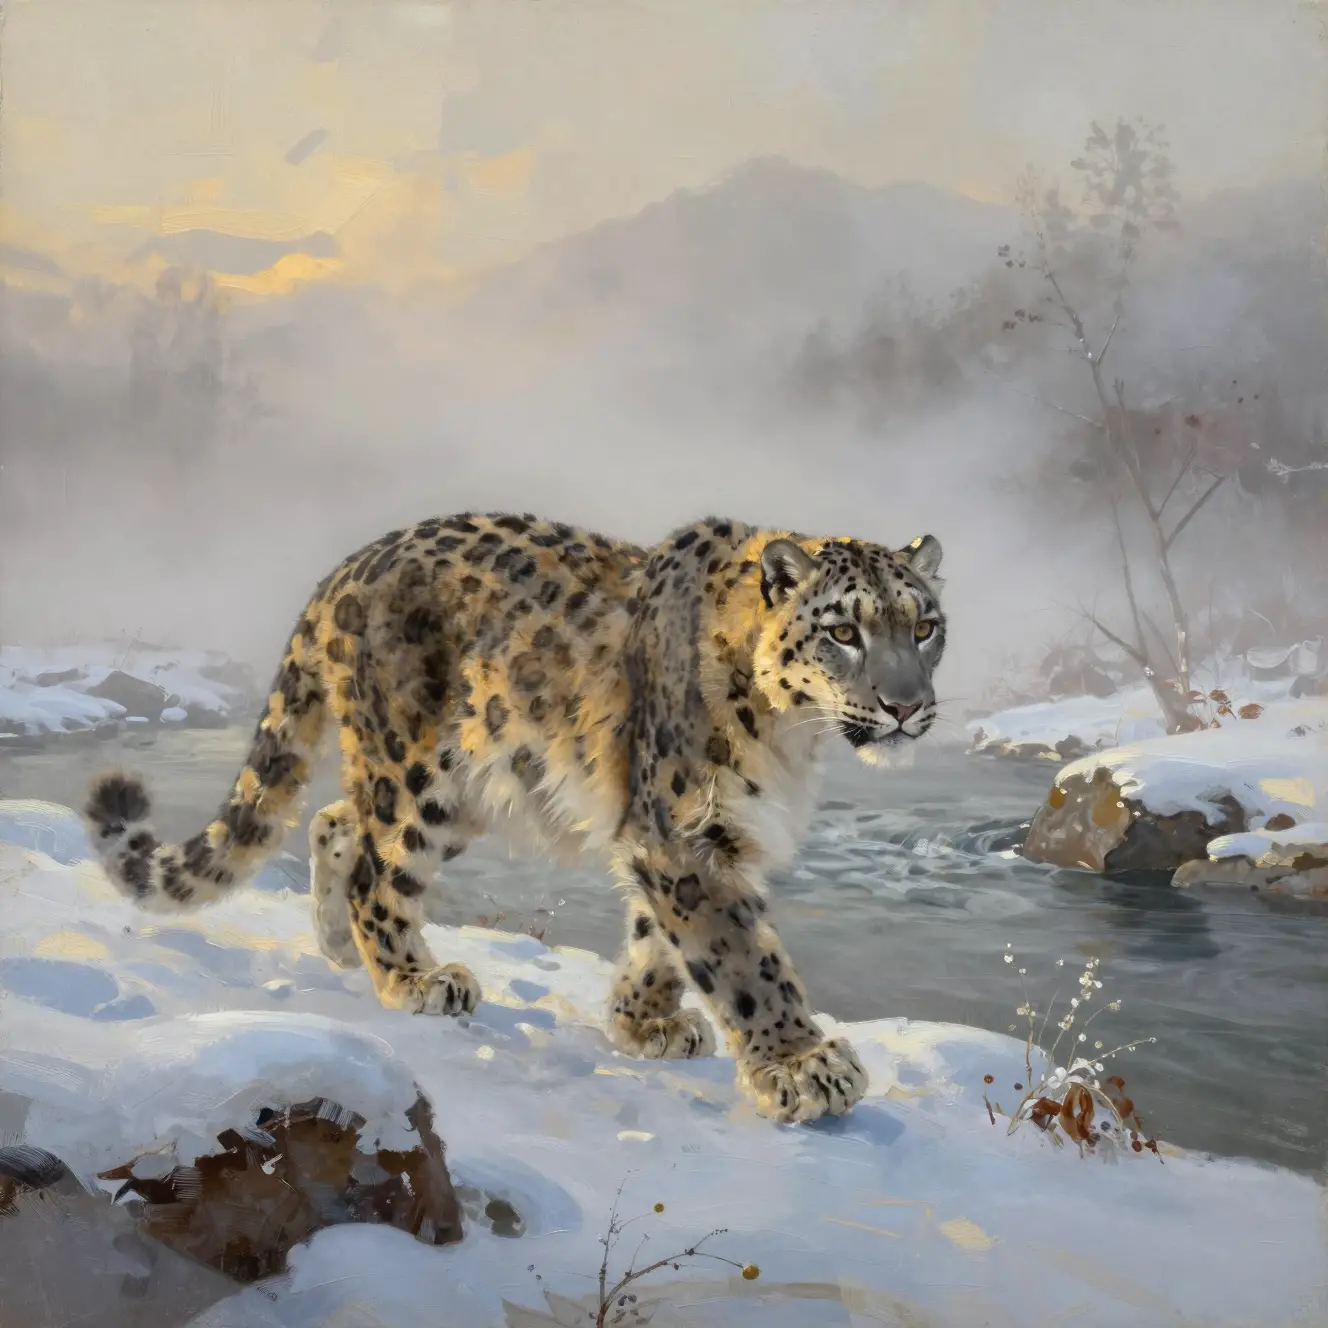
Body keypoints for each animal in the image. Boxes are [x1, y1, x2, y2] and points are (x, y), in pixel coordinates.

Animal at [83, 512, 946, 1124]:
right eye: (844, 632)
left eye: (925, 625)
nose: (907, 707)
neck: (791, 738)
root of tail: (346, 568)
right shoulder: (683, 832)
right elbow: (739, 955)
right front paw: (804, 1066)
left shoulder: (700, 835)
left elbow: (661, 938)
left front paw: (642, 1023)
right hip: (417, 773)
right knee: (377, 869)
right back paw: (414, 978)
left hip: (464, 790)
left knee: (335, 819)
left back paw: (336, 945)